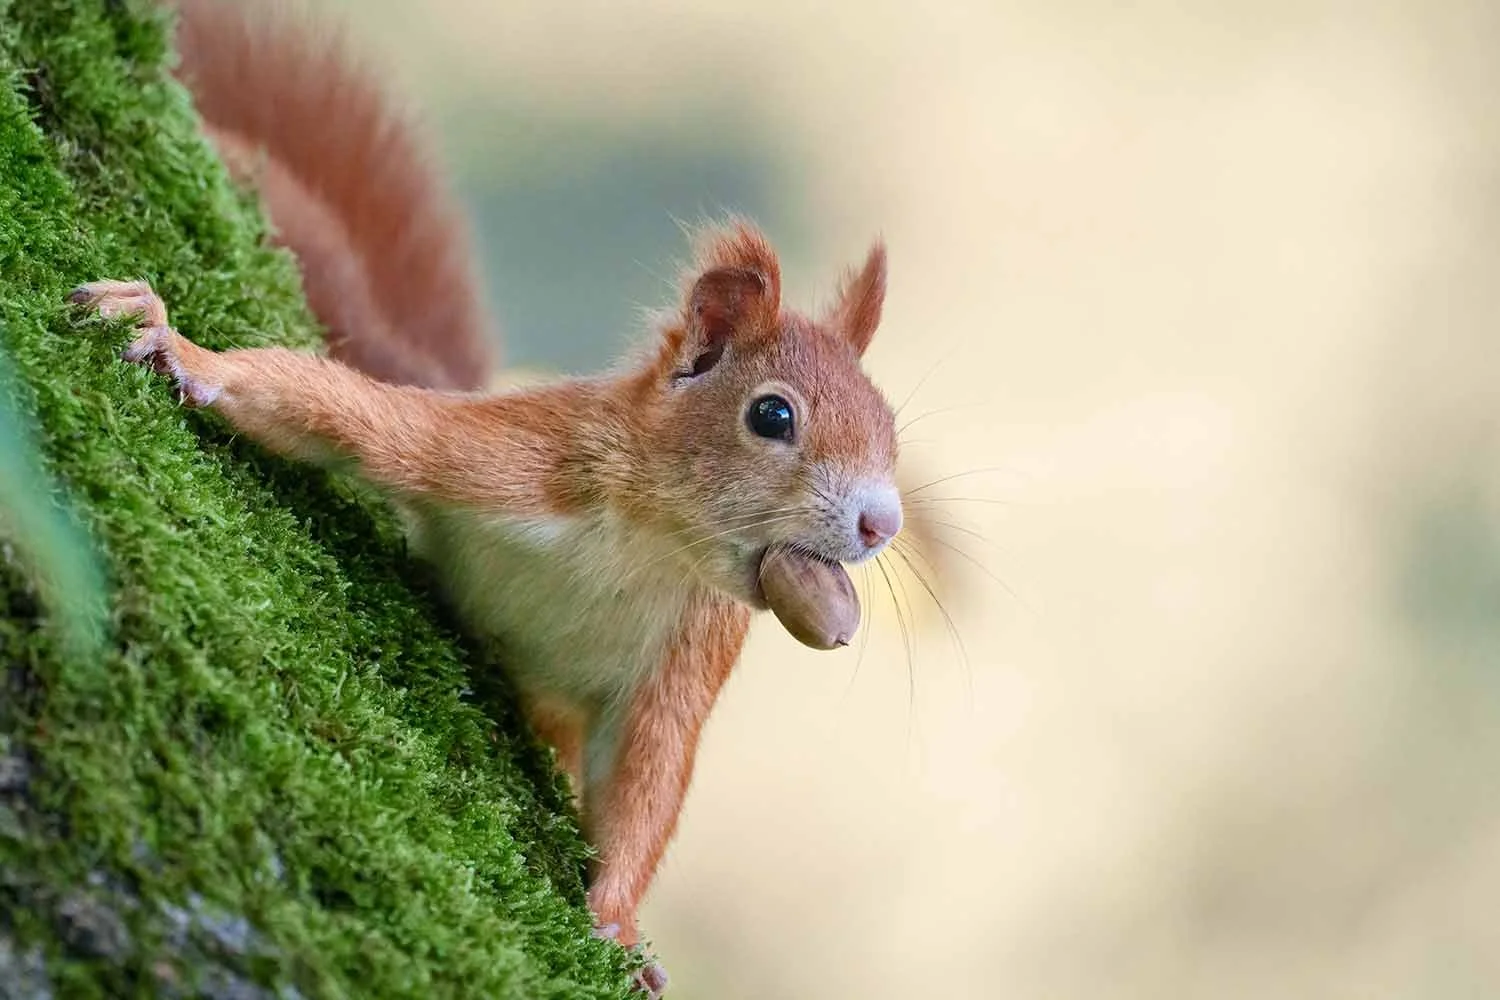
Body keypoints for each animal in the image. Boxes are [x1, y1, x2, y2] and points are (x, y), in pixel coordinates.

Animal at [70, 0, 904, 994]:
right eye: (772, 415)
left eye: (892, 426)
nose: (883, 522)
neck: (648, 543)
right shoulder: (503, 459)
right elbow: (352, 416)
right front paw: (179, 346)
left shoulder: (690, 650)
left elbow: (647, 779)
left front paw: (620, 930)